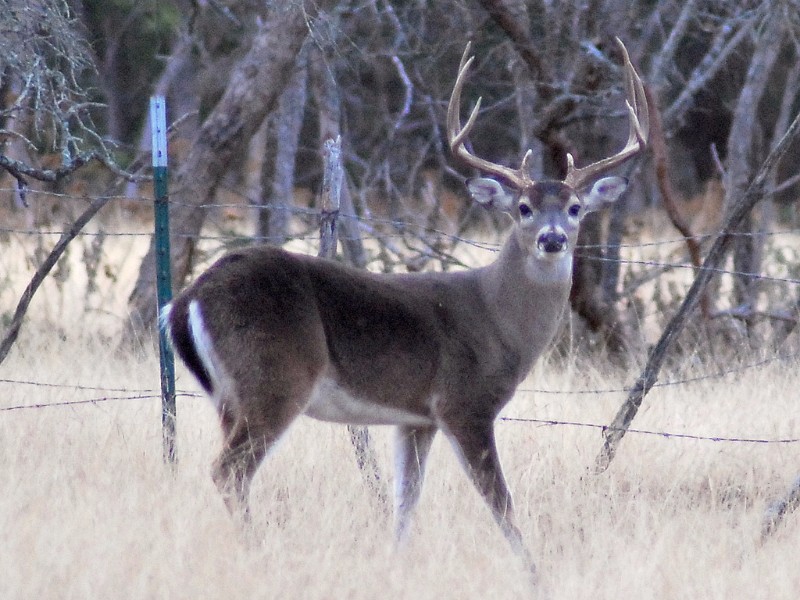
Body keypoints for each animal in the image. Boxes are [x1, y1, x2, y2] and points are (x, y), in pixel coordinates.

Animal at [162, 36, 648, 576]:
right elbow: (501, 502)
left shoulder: (416, 418)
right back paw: (258, 552)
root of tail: (187, 299)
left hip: (230, 396)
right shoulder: (464, 403)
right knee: (229, 470)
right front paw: (533, 573)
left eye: (575, 208)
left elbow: (405, 499)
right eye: (523, 208)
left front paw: (396, 562)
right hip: (274, 377)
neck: (498, 319)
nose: (552, 238)